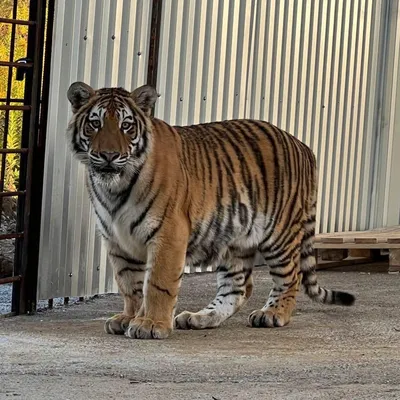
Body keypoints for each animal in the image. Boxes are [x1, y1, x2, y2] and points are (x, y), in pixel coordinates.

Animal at [66, 83, 356, 340]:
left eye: (126, 125)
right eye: (95, 124)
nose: (109, 155)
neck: (114, 187)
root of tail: (303, 146)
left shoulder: (168, 234)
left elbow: (157, 283)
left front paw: (150, 324)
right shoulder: (117, 240)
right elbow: (130, 285)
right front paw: (129, 318)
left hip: (280, 234)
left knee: (290, 277)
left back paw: (273, 314)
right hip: (236, 239)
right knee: (239, 287)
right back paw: (199, 317)